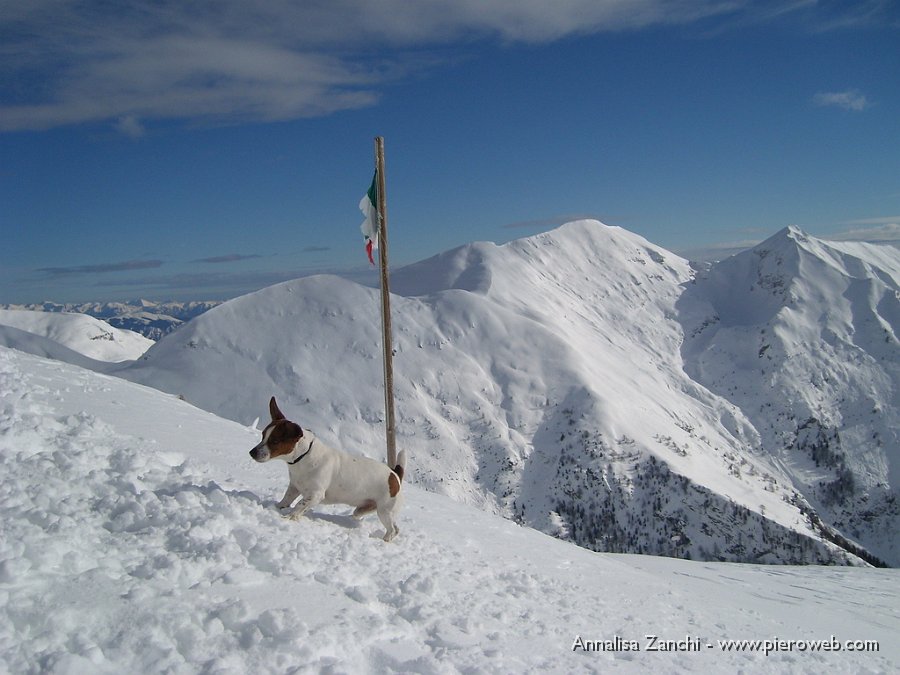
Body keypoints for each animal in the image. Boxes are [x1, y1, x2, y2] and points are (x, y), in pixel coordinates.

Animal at [248, 398, 406, 540]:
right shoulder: (294, 487)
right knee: (371, 518)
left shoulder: (315, 494)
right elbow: (286, 499)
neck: (304, 457)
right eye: (263, 435)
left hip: (385, 510)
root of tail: (395, 474)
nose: (252, 452)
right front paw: (276, 507)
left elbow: (299, 505)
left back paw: (384, 540)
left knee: (393, 530)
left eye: (274, 441)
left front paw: (289, 517)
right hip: (366, 508)